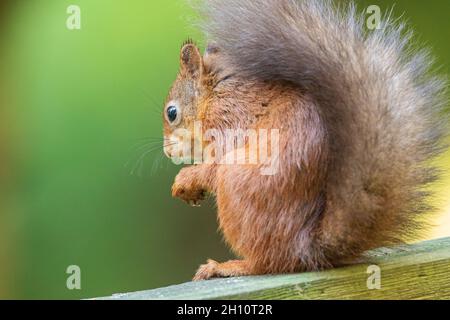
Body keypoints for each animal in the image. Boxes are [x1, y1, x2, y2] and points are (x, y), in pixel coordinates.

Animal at [162, 0, 446, 280]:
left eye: (172, 112)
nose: (167, 152)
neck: (215, 96)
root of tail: (307, 248)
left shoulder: (228, 121)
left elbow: (214, 164)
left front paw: (185, 180)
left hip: (237, 188)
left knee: (269, 262)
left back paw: (228, 267)